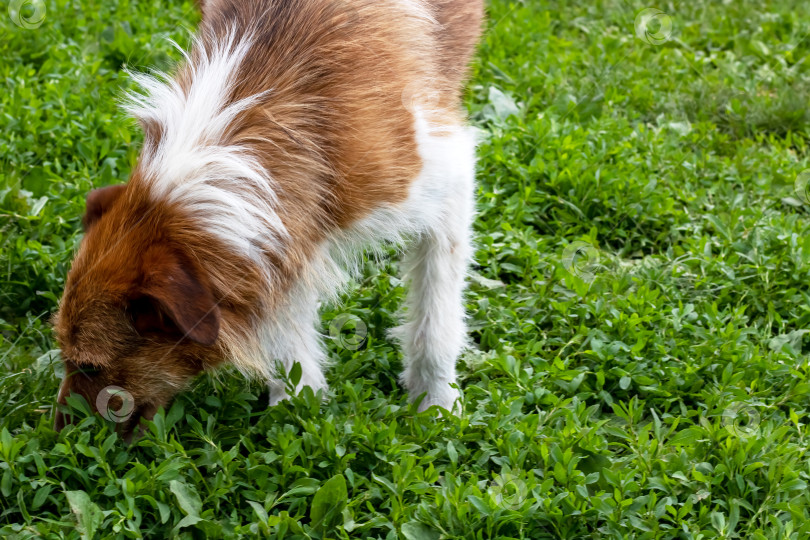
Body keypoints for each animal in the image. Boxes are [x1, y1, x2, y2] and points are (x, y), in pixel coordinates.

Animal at [53, 0, 482, 432]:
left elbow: (435, 321)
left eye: (90, 366)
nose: (59, 439)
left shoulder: (447, 184)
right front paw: (297, 400)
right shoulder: (287, 235)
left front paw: (435, 402)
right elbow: (285, 317)